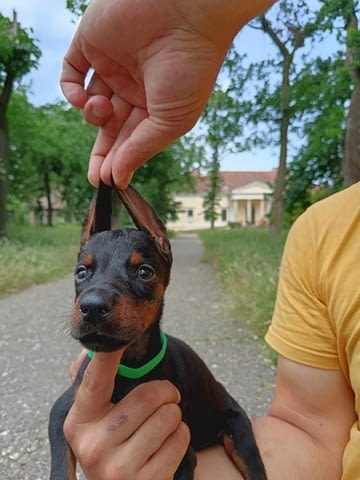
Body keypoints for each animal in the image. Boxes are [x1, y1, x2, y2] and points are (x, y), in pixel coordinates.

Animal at [48, 182, 268, 478]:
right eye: (81, 272)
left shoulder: (182, 454)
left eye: (144, 272)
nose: (93, 307)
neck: (127, 365)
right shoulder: (64, 408)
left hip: (239, 432)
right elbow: (61, 463)